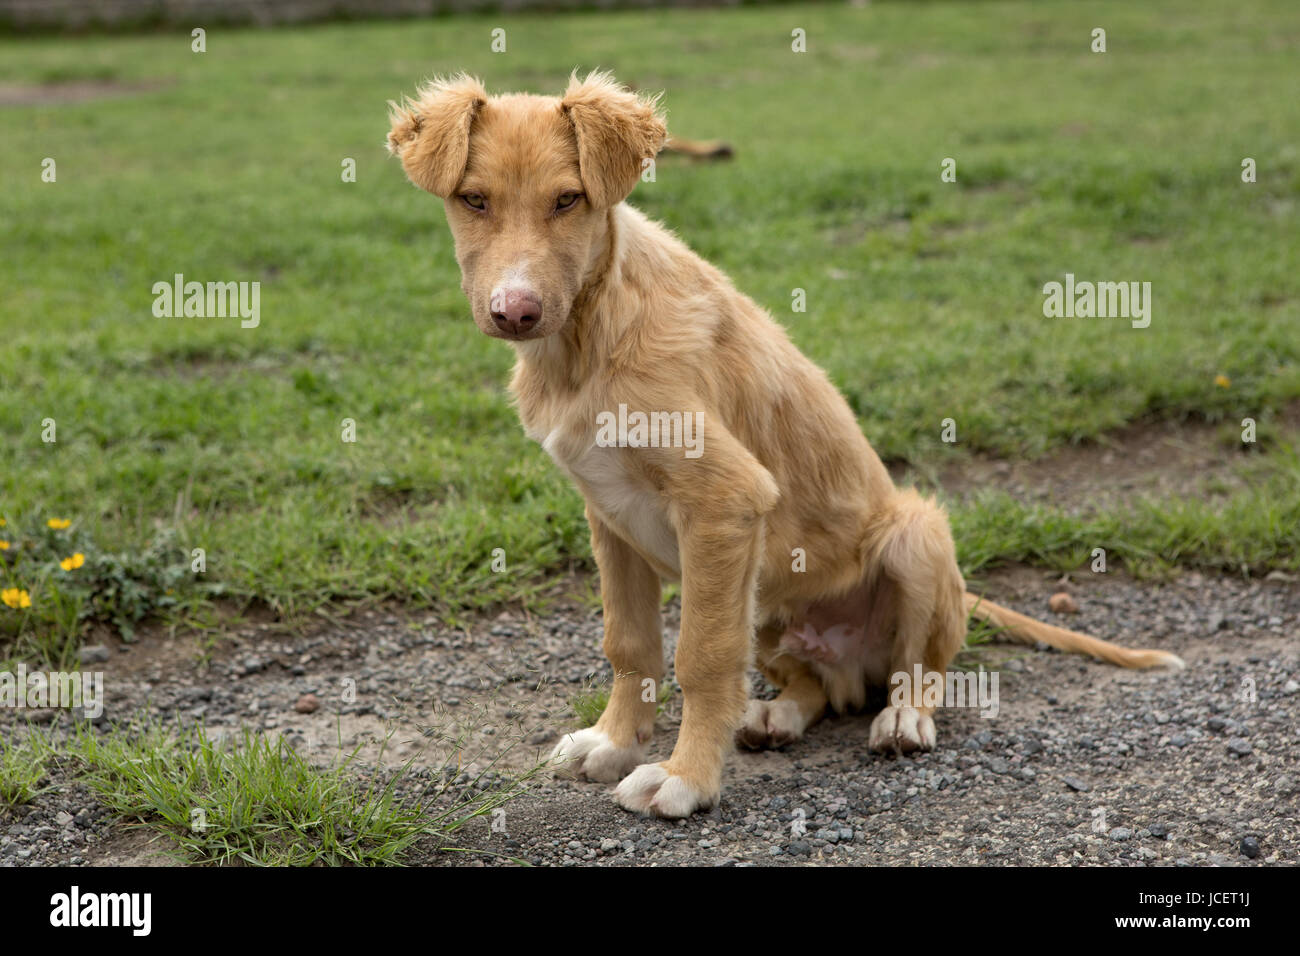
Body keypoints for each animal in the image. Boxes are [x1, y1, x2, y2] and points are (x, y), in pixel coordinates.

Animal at [379, 70, 1185, 816]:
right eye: (474, 200)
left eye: (568, 200)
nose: (514, 311)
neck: (588, 334)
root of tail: (854, 663)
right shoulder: (608, 514)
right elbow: (629, 644)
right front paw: (614, 742)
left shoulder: (726, 501)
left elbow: (701, 657)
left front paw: (683, 778)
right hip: (767, 601)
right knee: (815, 688)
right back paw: (778, 715)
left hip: (915, 536)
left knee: (918, 669)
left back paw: (902, 721)